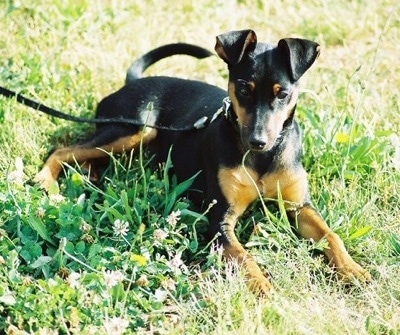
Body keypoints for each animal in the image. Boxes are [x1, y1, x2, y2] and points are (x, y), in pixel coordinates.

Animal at [35, 30, 372, 294]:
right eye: (243, 88)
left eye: (283, 94)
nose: (257, 141)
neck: (262, 158)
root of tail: (132, 82)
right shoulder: (220, 219)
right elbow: (244, 256)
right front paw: (261, 285)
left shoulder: (299, 206)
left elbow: (331, 235)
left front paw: (353, 270)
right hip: (134, 128)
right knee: (62, 150)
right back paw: (45, 181)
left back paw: (90, 174)